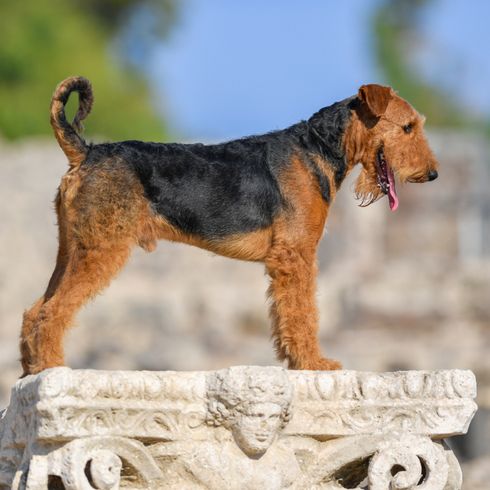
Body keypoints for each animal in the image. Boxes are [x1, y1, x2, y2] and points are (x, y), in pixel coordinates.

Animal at [20, 76, 440, 376]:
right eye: (407, 127)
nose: (432, 173)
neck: (317, 149)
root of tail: (86, 152)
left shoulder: (287, 259)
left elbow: (287, 315)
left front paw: (295, 361)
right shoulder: (296, 255)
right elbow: (303, 312)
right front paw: (314, 364)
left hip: (71, 249)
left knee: (34, 310)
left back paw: (30, 368)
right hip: (101, 249)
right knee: (51, 311)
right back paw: (51, 368)